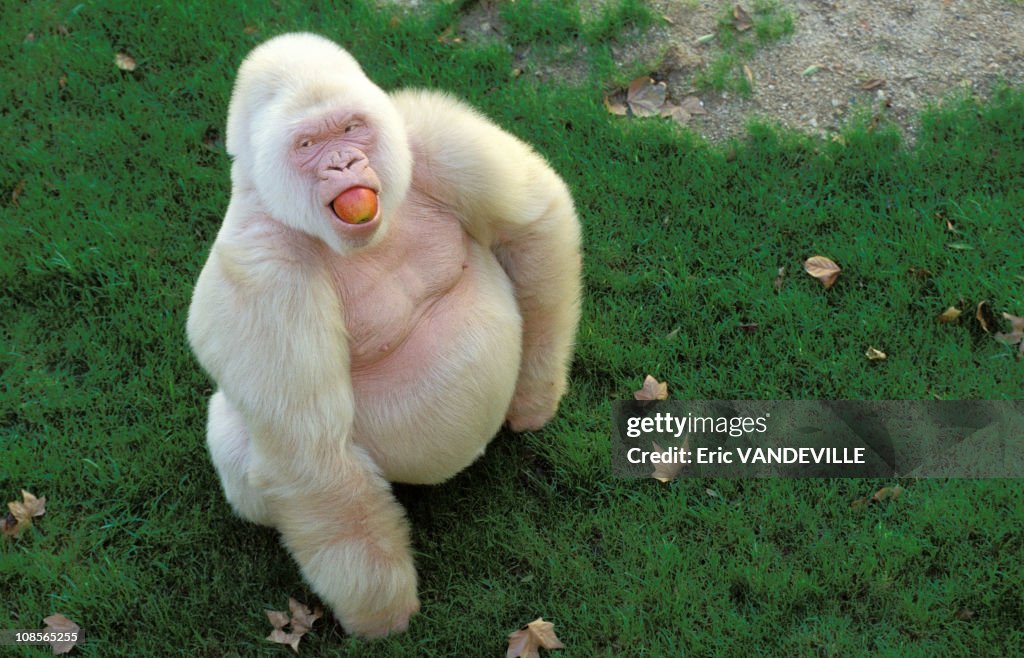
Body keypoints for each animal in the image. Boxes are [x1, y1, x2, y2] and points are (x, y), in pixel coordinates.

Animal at [187, 32, 581, 638]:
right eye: (308, 143)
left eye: (351, 128)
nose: (345, 162)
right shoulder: (260, 276)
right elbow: (313, 459)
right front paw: (382, 613)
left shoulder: (437, 136)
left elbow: (534, 224)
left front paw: (533, 398)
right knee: (237, 436)